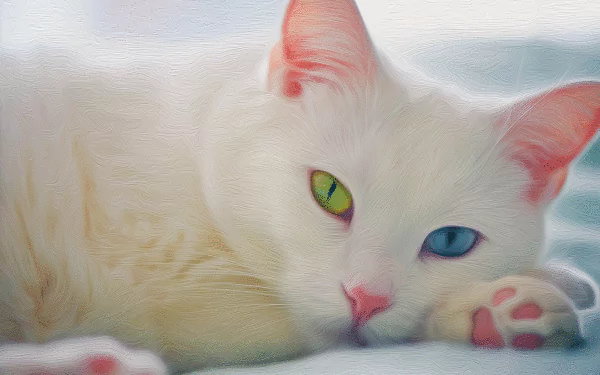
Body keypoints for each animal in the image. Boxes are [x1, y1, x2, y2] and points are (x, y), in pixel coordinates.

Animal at [1, 0, 600, 374]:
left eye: (451, 242)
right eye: (330, 192)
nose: (365, 298)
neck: (190, 143)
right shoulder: (170, 292)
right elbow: (322, 333)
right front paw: (499, 305)